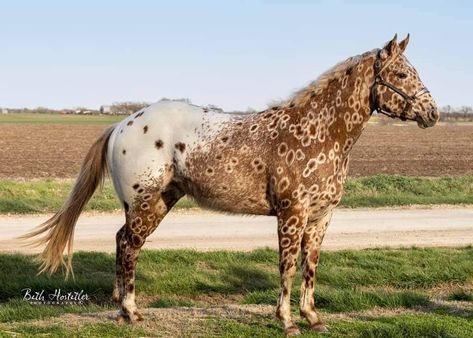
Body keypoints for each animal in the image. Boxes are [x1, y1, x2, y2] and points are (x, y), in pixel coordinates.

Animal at [24, 34, 438, 336]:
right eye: (402, 75)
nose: (432, 113)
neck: (317, 133)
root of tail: (123, 123)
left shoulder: (321, 218)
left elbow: (310, 266)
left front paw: (313, 317)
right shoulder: (292, 215)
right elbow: (287, 266)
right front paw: (286, 321)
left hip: (155, 203)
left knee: (124, 243)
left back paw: (122, 308)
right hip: (145, 204)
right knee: (128, 246)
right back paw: (130, 311)